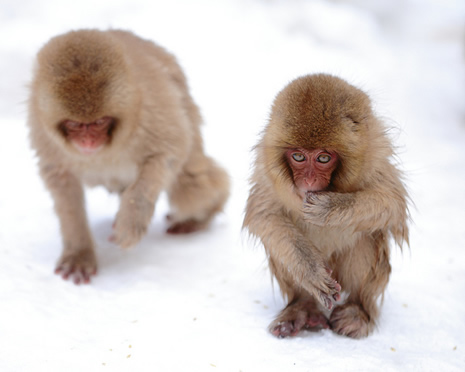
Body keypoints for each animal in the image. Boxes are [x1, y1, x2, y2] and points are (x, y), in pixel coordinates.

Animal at [27, 29, 228, 284]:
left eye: (100, 122)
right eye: (74, 124)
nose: (88, 142)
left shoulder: (151, 110)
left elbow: (169, 150)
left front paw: (133, 218)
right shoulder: (43, 131)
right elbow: (63, 185)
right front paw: (79, 253)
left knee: (190, 186)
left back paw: (200, 216)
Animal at [241, 74, 408, 338]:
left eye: (323, 158)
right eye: (299, 157)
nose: (309, 181)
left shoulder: (376, 156)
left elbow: (392, 202)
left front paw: (330, 208)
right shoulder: (266, 170)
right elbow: (265, 215)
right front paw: (310, 271)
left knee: (366, 239)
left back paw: (358, 310)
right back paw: (302, 308)